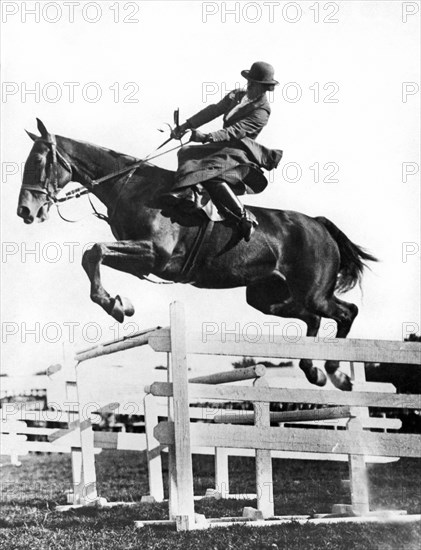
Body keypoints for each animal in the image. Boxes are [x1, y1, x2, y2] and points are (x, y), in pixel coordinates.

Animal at [17, 119, 378, 392]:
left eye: (38, 162)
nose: (25, 211)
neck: (131, 187)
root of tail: (318, 224)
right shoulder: (141, 261)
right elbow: (93, 255)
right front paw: (118, 303)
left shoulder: (155, 255)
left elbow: (94, 251)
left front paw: (117, 306)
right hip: (267, 297)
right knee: (313, 319)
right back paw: (313, 371)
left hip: (313, 292)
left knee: (345, 312)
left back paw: (336, 372)